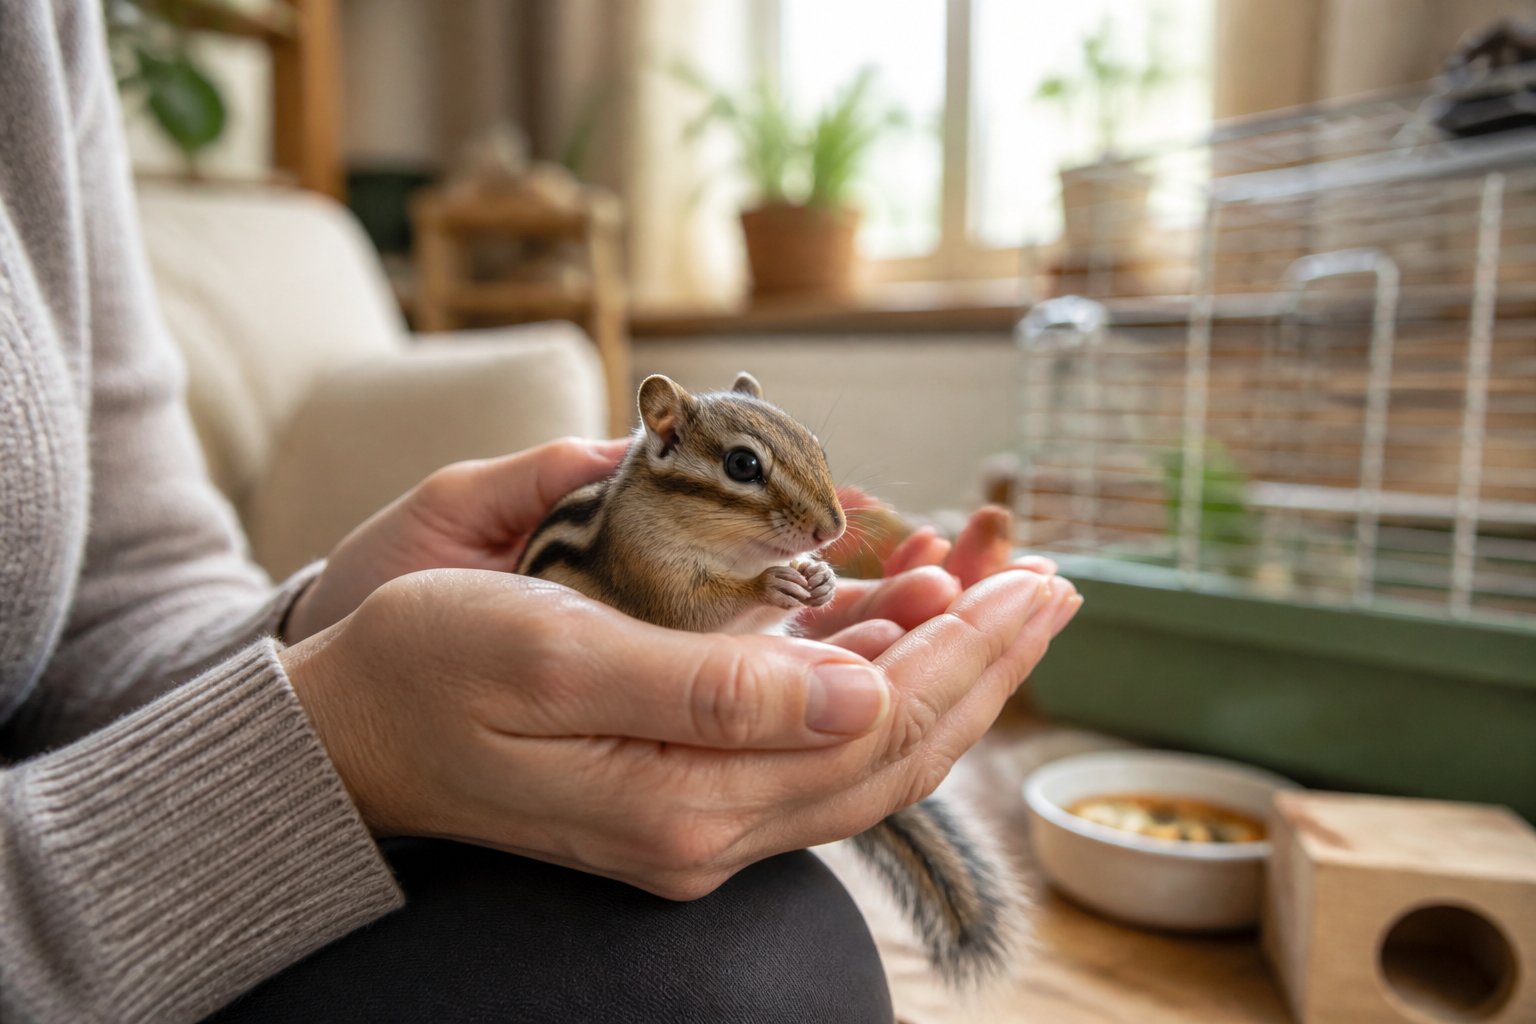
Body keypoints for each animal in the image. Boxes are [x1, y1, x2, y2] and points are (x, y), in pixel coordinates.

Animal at [517, 371, 1020, 985]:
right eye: (743, 465)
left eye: (817, 447)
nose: (832, 529)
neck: (736, 552)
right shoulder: (653, 574)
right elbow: (700, 609)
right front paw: (768, 584)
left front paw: (820, 578)